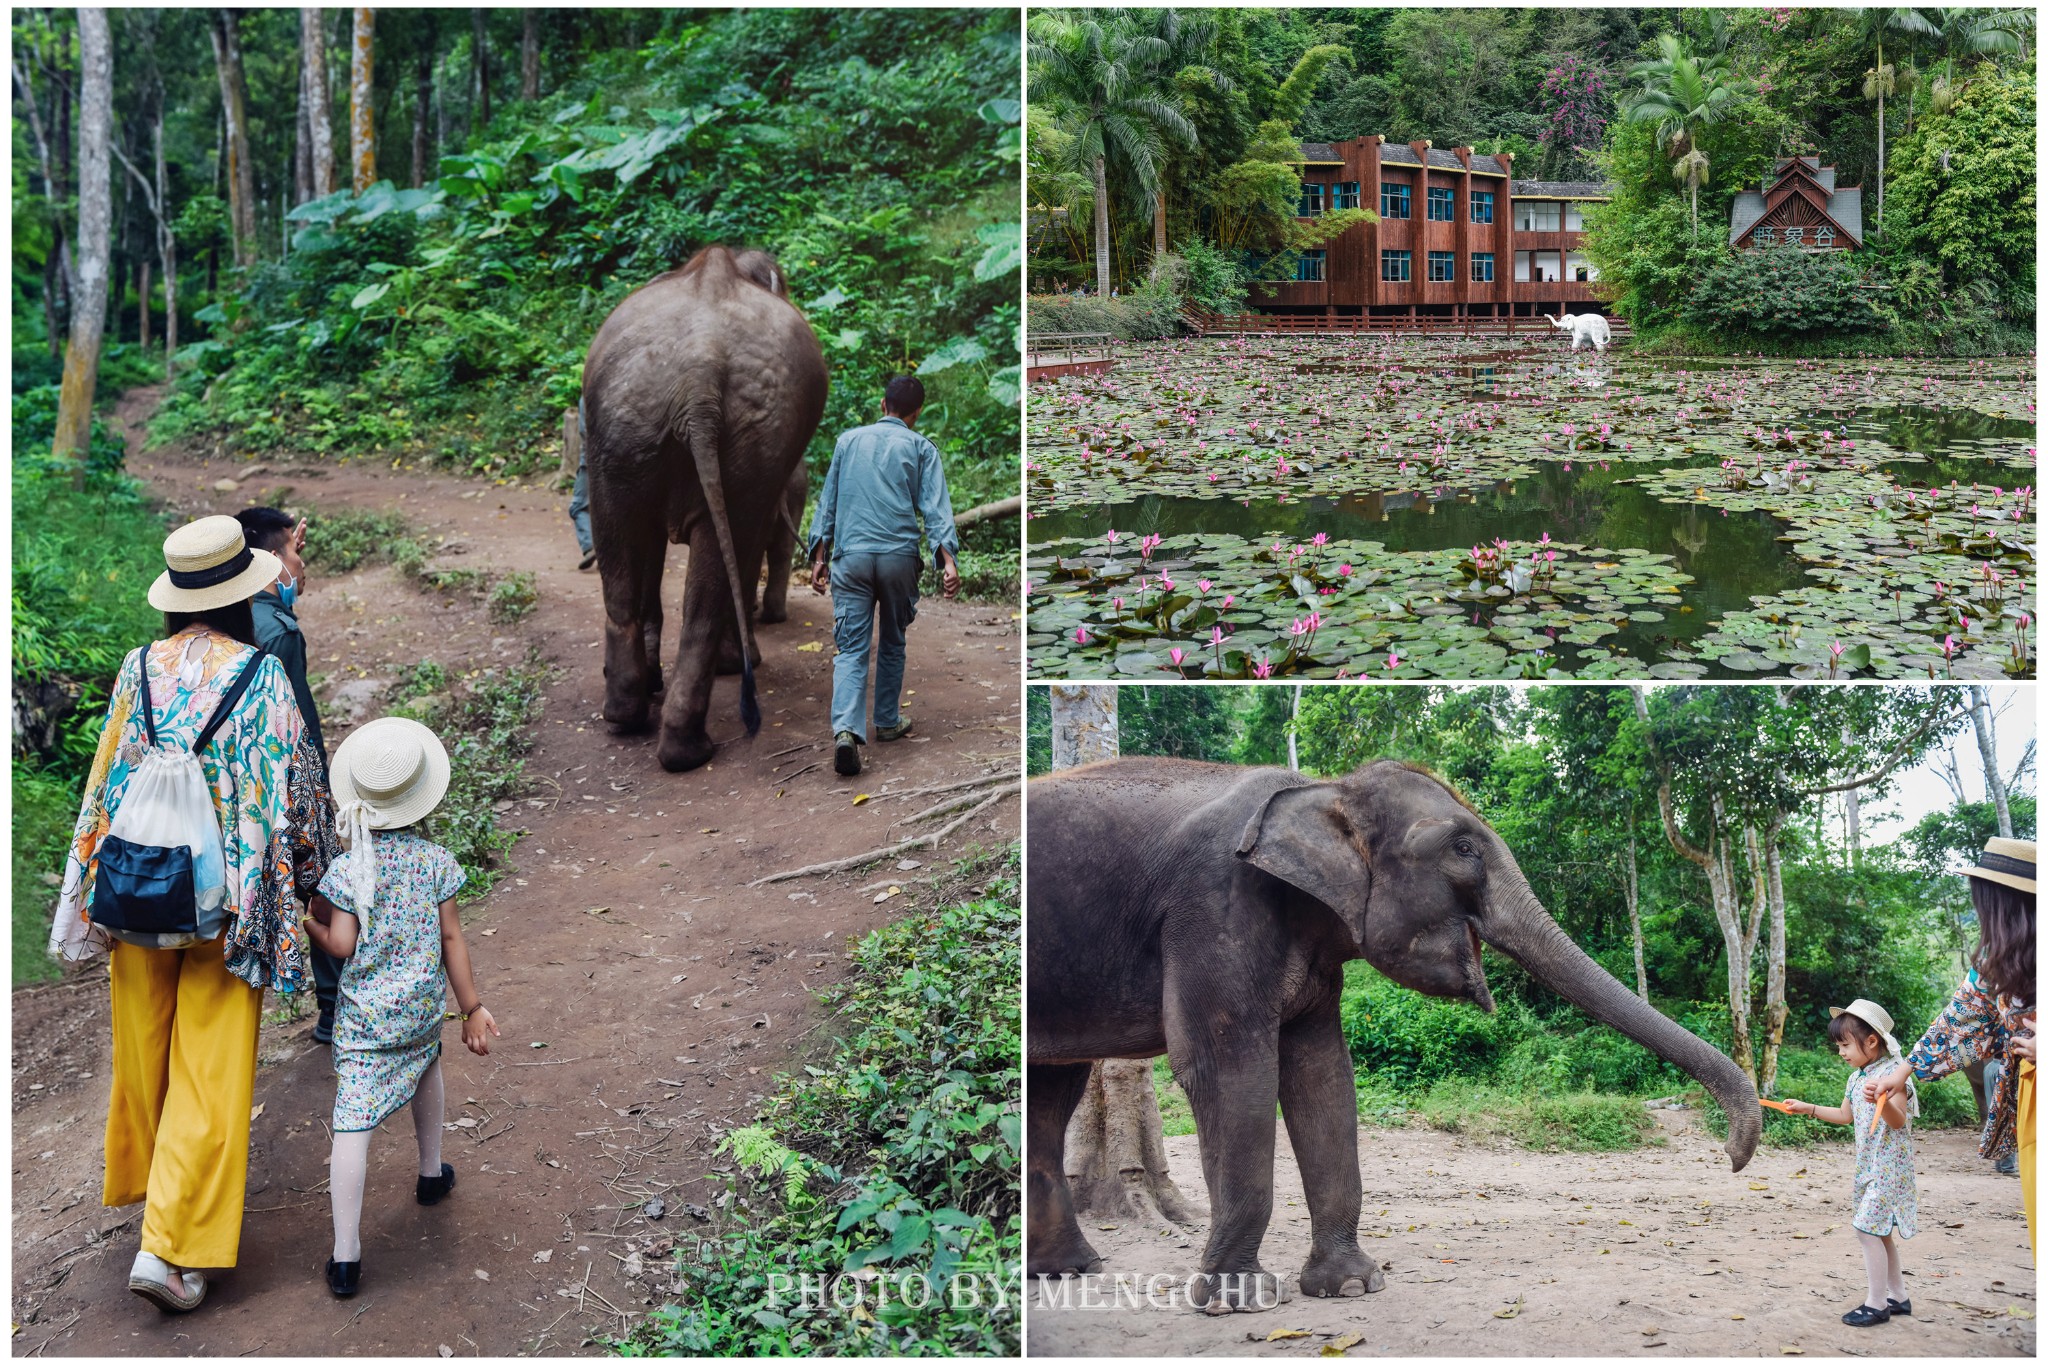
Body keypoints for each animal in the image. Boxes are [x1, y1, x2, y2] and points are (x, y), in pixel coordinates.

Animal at [581, 246, 827, 773]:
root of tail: (701, 364)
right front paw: (740, 662)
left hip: (624, 425)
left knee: (624, 555)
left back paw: (633, 720)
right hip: (741, 435)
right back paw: (689, 742)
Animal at [1024, 757, 1761, 1309]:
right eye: (1463, 848)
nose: (1730, 1155)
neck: (1322, 788)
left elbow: (1323, 1073)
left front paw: (1351, 1287)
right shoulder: (1213, 908)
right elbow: (1225, 1069)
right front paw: (1239, 1301)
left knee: (1050, 1091)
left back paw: (1069, 1271)